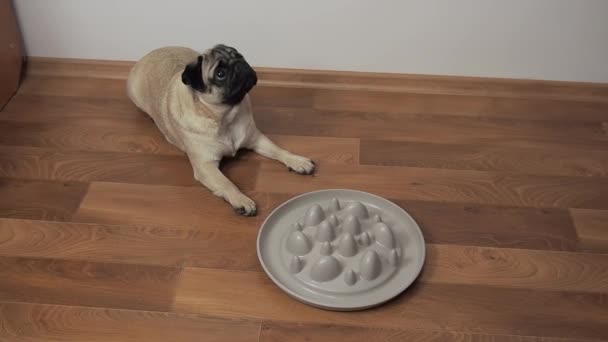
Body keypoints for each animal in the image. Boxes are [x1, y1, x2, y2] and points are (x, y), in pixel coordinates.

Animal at [129, 44, 318, 216]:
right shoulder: (206, 165)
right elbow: (227, 183)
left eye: (239, 56)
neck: (226, 116)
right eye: (220, 74)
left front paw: (297, 161)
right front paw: (241, 200)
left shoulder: (255, 138)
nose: (239, 64)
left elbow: (278, 150)